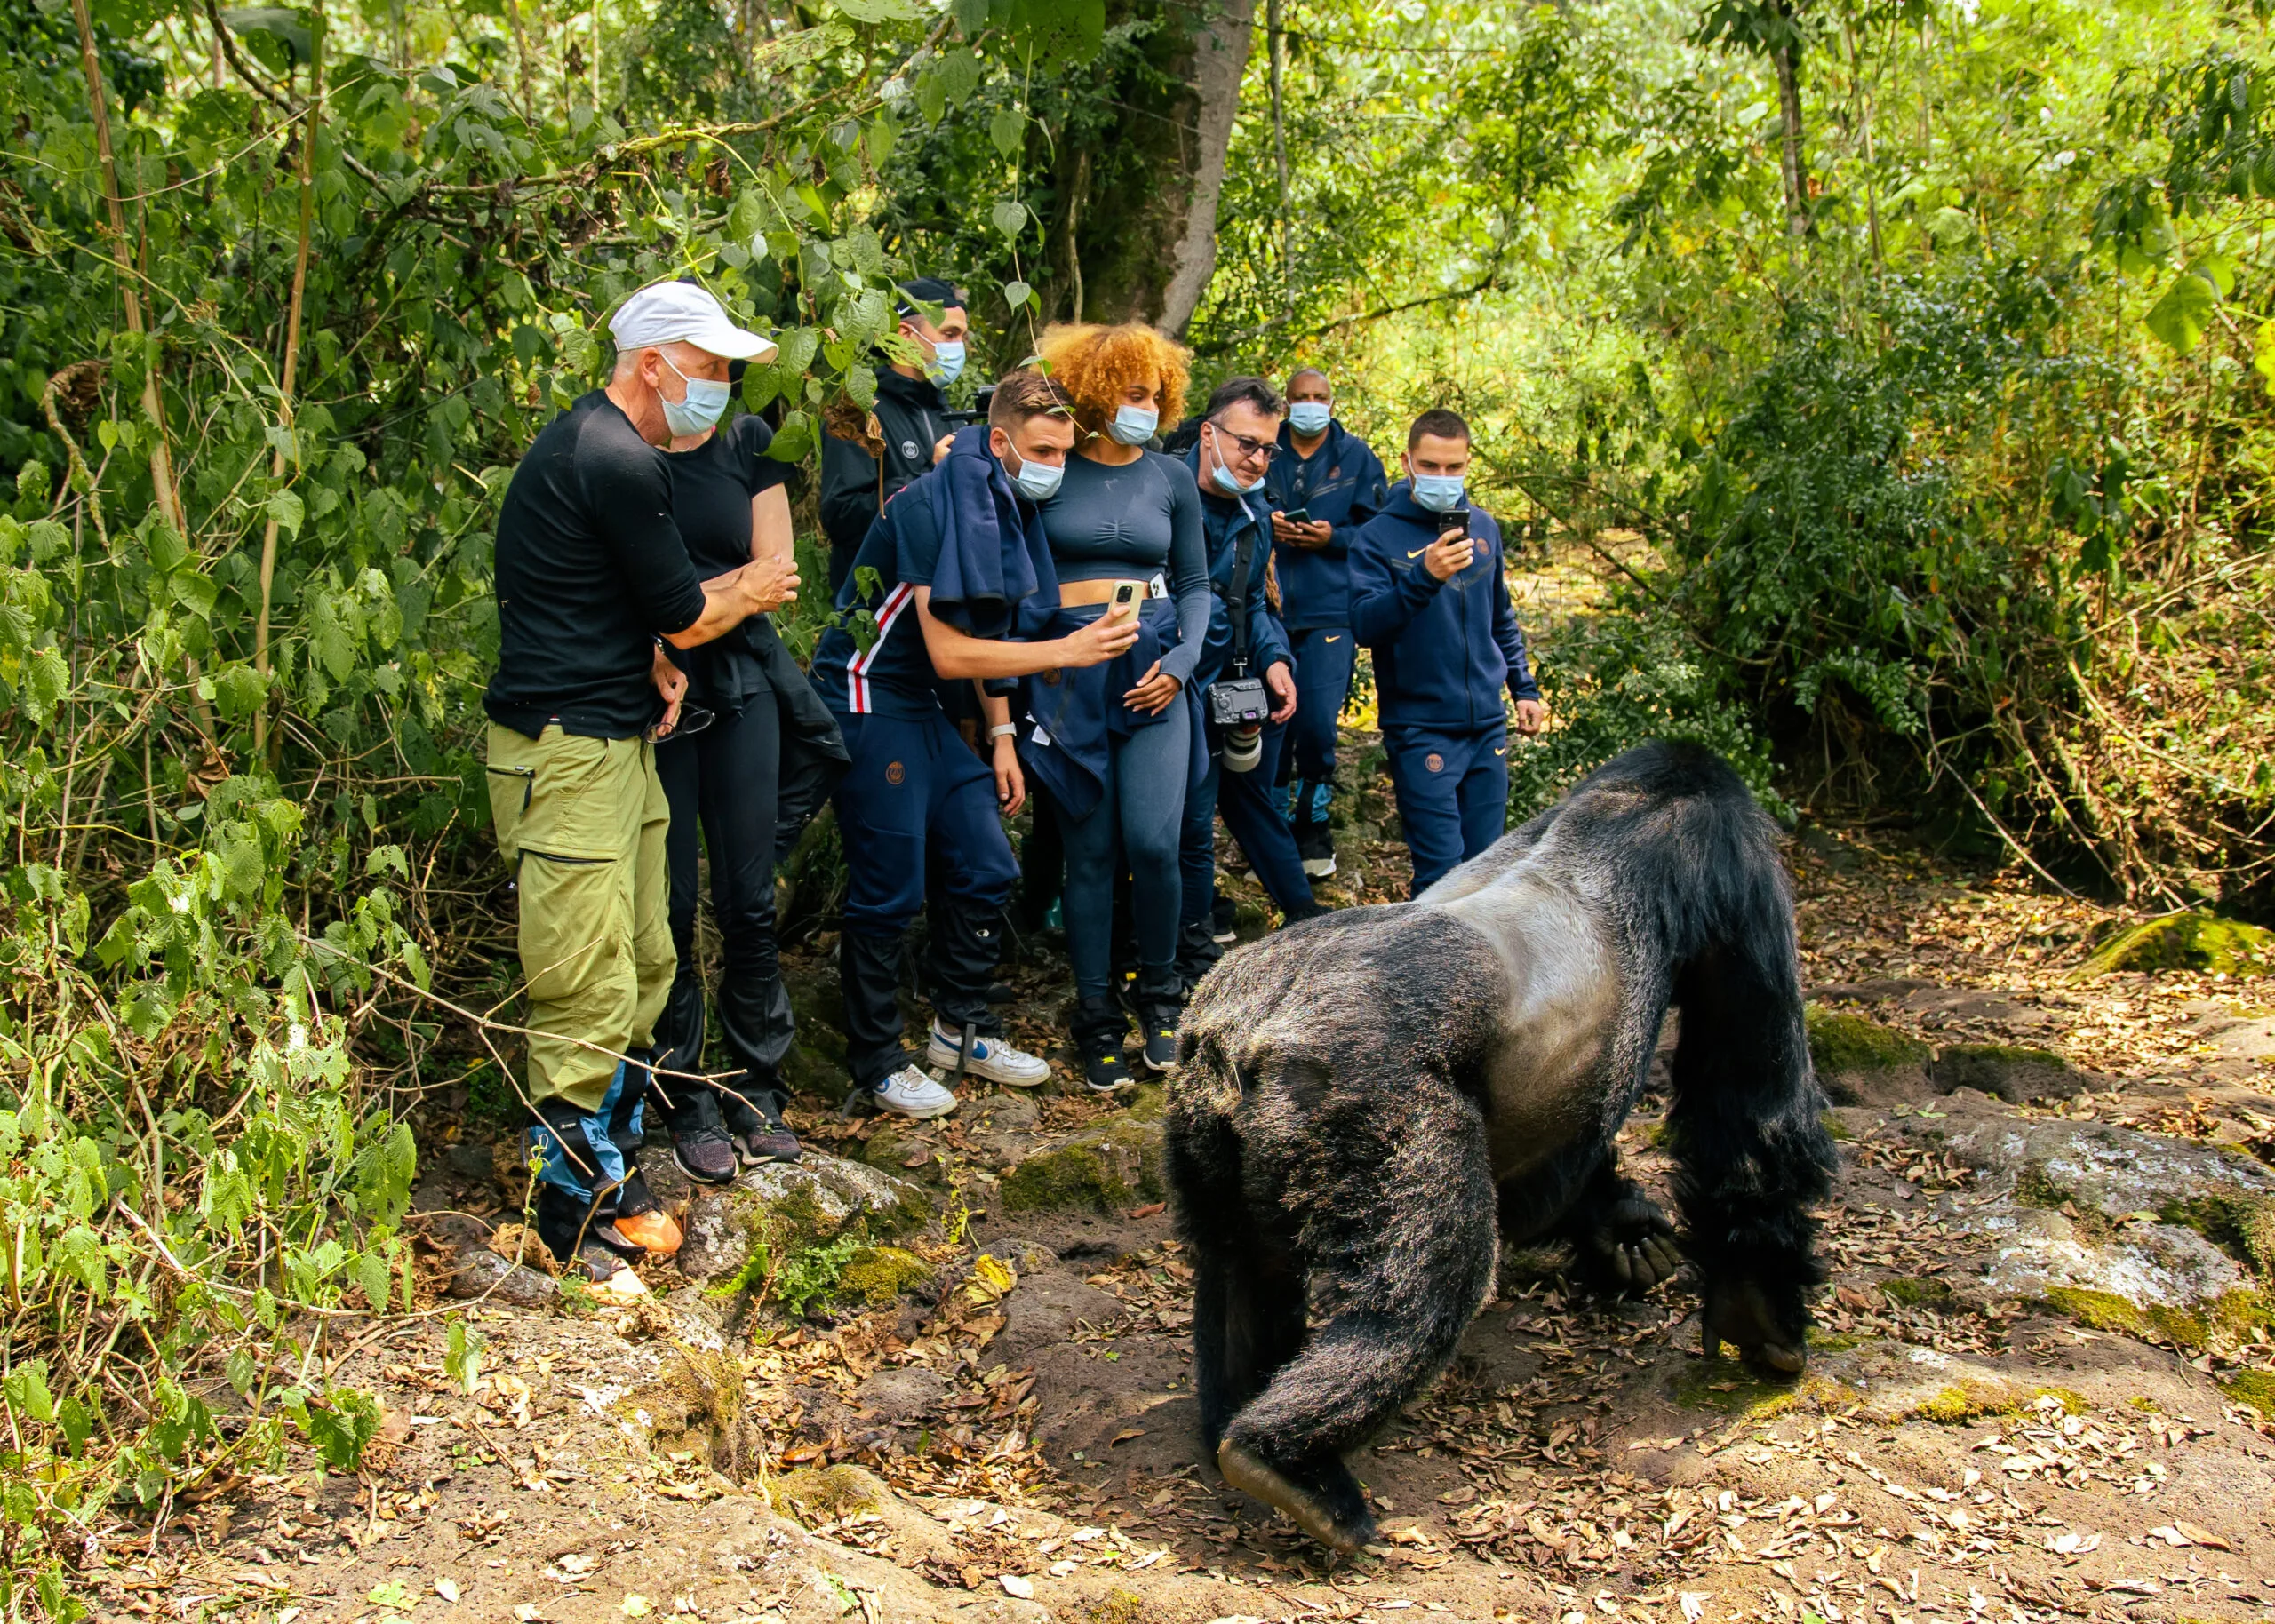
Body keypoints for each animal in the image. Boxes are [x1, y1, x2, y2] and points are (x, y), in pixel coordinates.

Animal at [1164, 741, 1837, 1556]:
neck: (1636, 795)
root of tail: (1248, 1022)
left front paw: (1624, 1231)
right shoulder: (1732, 869)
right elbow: (1750, 1107)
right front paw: (1758, 1303)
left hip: (1202, 1101)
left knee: (1239, 1260)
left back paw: (1237, 1419)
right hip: (1367, 1094)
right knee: (1426, 1289)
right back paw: (1288, 1459)